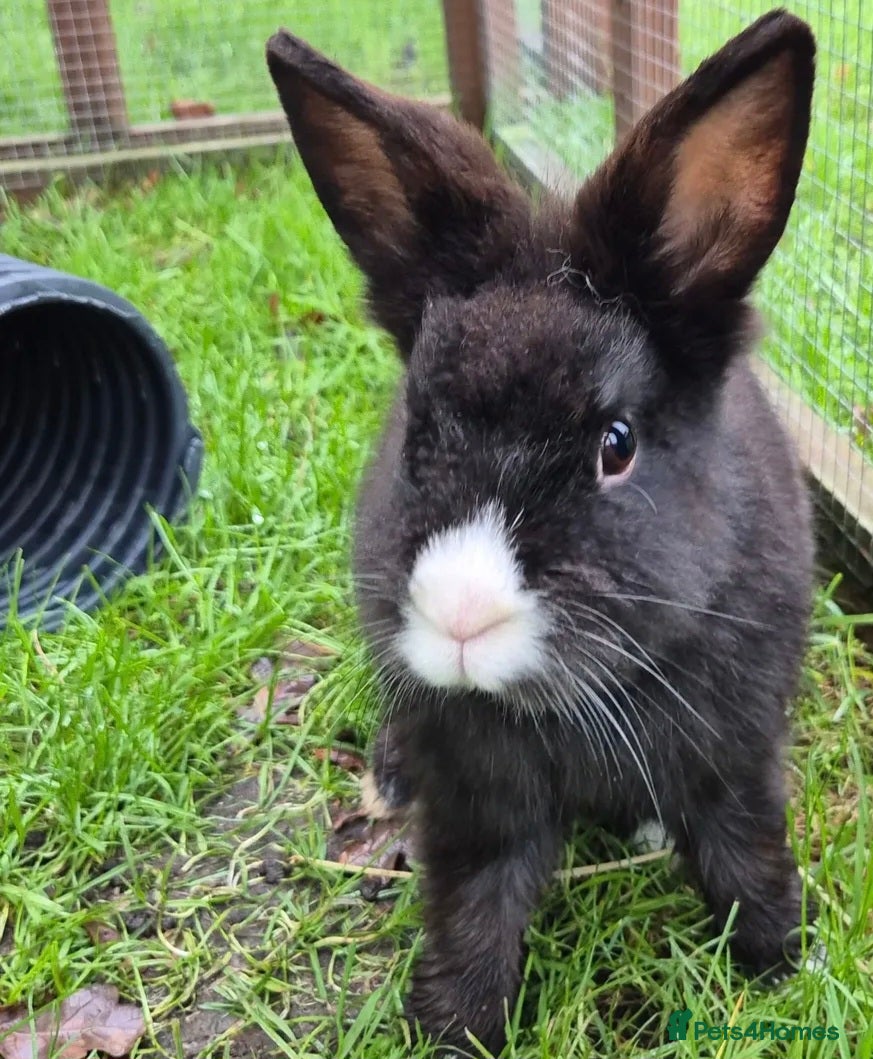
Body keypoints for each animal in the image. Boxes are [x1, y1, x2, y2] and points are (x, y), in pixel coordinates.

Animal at [267, 9, 817, 1053]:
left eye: (617, 443)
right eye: (419, 428)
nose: (459, 615)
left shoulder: (735, 748)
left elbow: (741, 845)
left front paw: (782, 963)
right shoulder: (476, 796)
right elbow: (475, 900)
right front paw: (454, 1026)